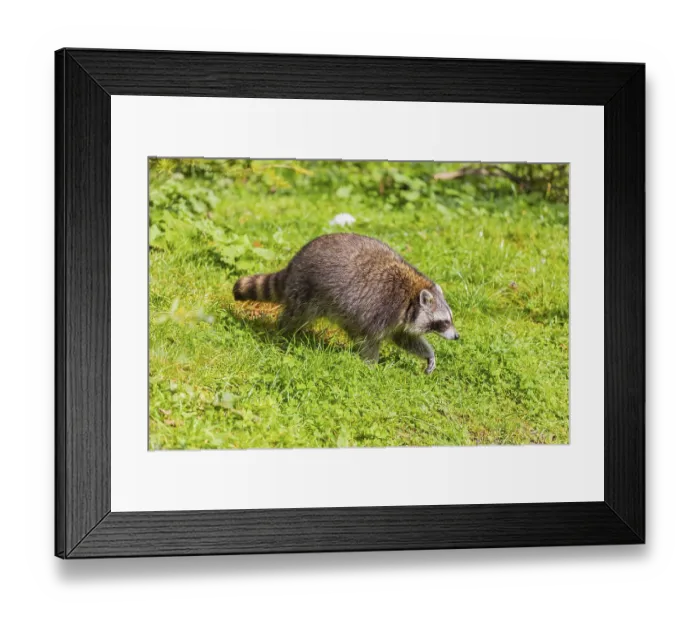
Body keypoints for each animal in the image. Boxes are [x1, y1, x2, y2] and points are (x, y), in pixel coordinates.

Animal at [233, 233, 458, 374]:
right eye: (444, 322)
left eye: (450, 319)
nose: (457, 336)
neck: (411, 297)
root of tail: (295, 261)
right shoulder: (382, 309)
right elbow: (370, 340)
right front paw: (371, 366)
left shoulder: (399, 319)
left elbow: (405, 338)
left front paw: (429, 354)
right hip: (306, 289)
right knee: (297, 315)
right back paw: (283, 332)